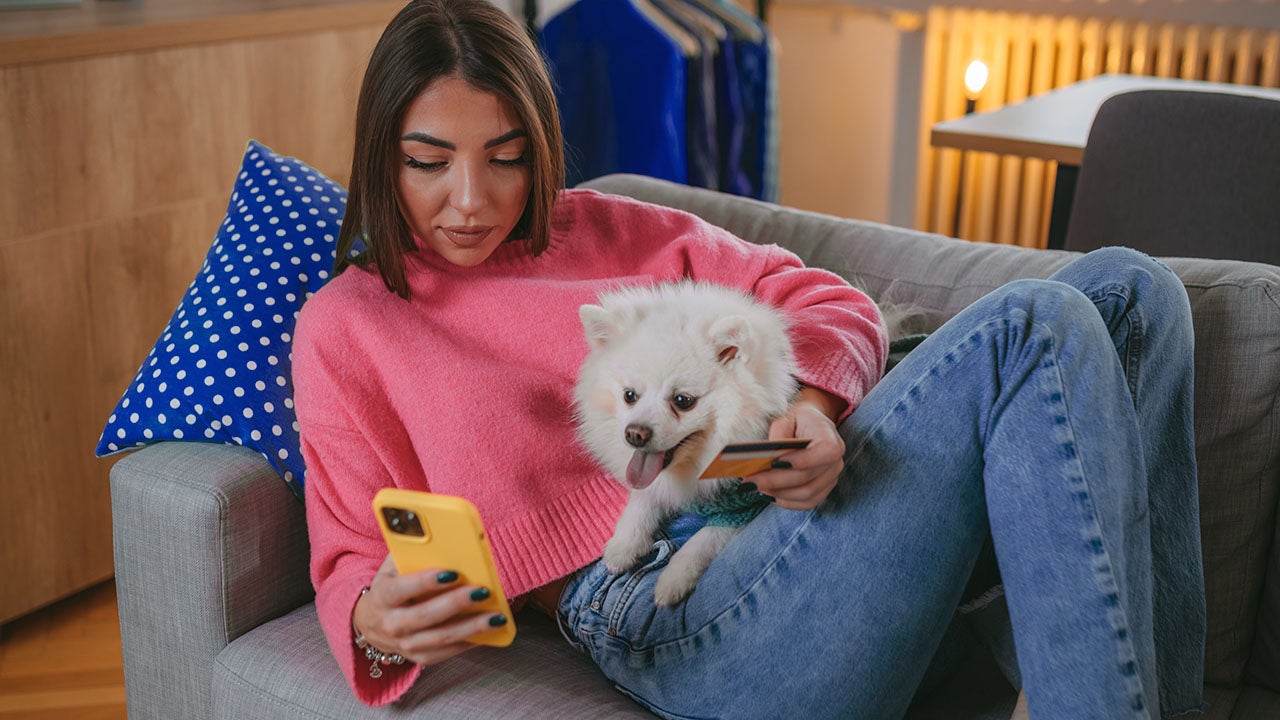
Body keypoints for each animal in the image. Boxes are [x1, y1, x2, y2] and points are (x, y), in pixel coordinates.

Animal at [573, 281, 793, 604]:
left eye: (683, 401)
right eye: (629, 395)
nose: (634, 434)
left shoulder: (748, 501)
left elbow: (704, 541)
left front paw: (672, 580)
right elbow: (642, 502)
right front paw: (624, 545)